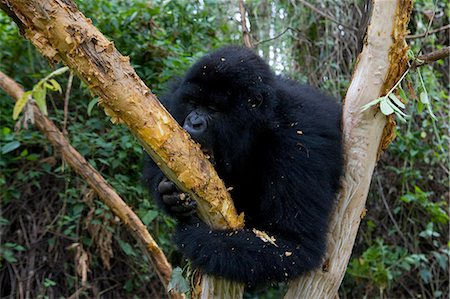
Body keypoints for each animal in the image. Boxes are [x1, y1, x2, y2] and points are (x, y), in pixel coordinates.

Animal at [142, 45, 342, 288]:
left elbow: (293, 243)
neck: (261, 123)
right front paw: (170, 195)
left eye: (213, 108)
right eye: (194, 103)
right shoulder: (173, 99)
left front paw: (197, 237)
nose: (193, 122)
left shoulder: (299, 144)